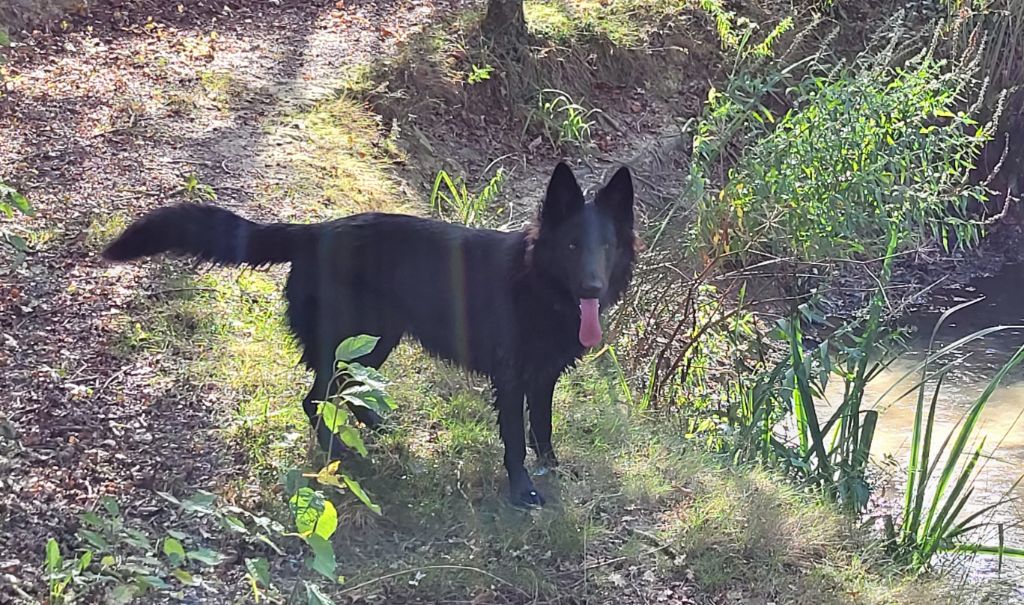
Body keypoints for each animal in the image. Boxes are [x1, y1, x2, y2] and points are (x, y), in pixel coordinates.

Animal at [103, 161, 630, 505]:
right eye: (571, 245)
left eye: (604, 247)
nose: (592, 287)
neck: (538, 283)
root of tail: (314, 231)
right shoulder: (511, 379)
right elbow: (516, 439)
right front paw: (522, 490)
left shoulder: (543, 378)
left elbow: (542, 428)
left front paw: (554, 470)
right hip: (355, 340)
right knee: (316, 397)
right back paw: (340, 457)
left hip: (376, 341)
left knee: (340, 392)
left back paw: (375, 428)